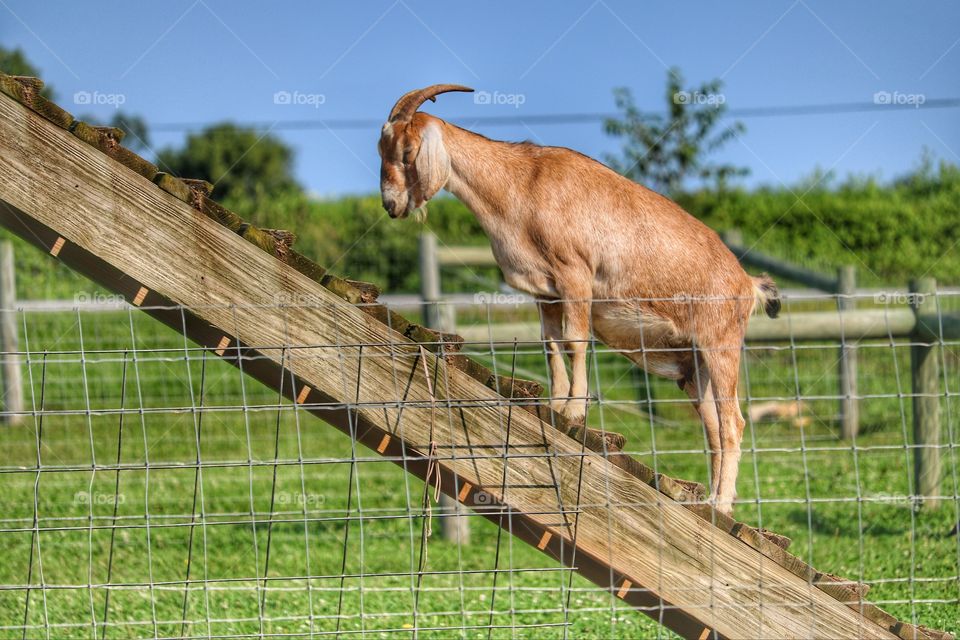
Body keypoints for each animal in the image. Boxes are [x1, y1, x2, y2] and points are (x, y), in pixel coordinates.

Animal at [378, 84, 780, 514]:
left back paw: (720, 504)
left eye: (406, 151)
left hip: (719, 345)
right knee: (714, 428)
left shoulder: (575, 274)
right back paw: (713, 500)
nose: (390, 204)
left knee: (733, 422)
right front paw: (556, 406)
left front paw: (574, 410)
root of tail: (746, 283)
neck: (522, 184)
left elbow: (574, 340)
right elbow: (551, 345)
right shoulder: (546, 293)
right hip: (694, 368)